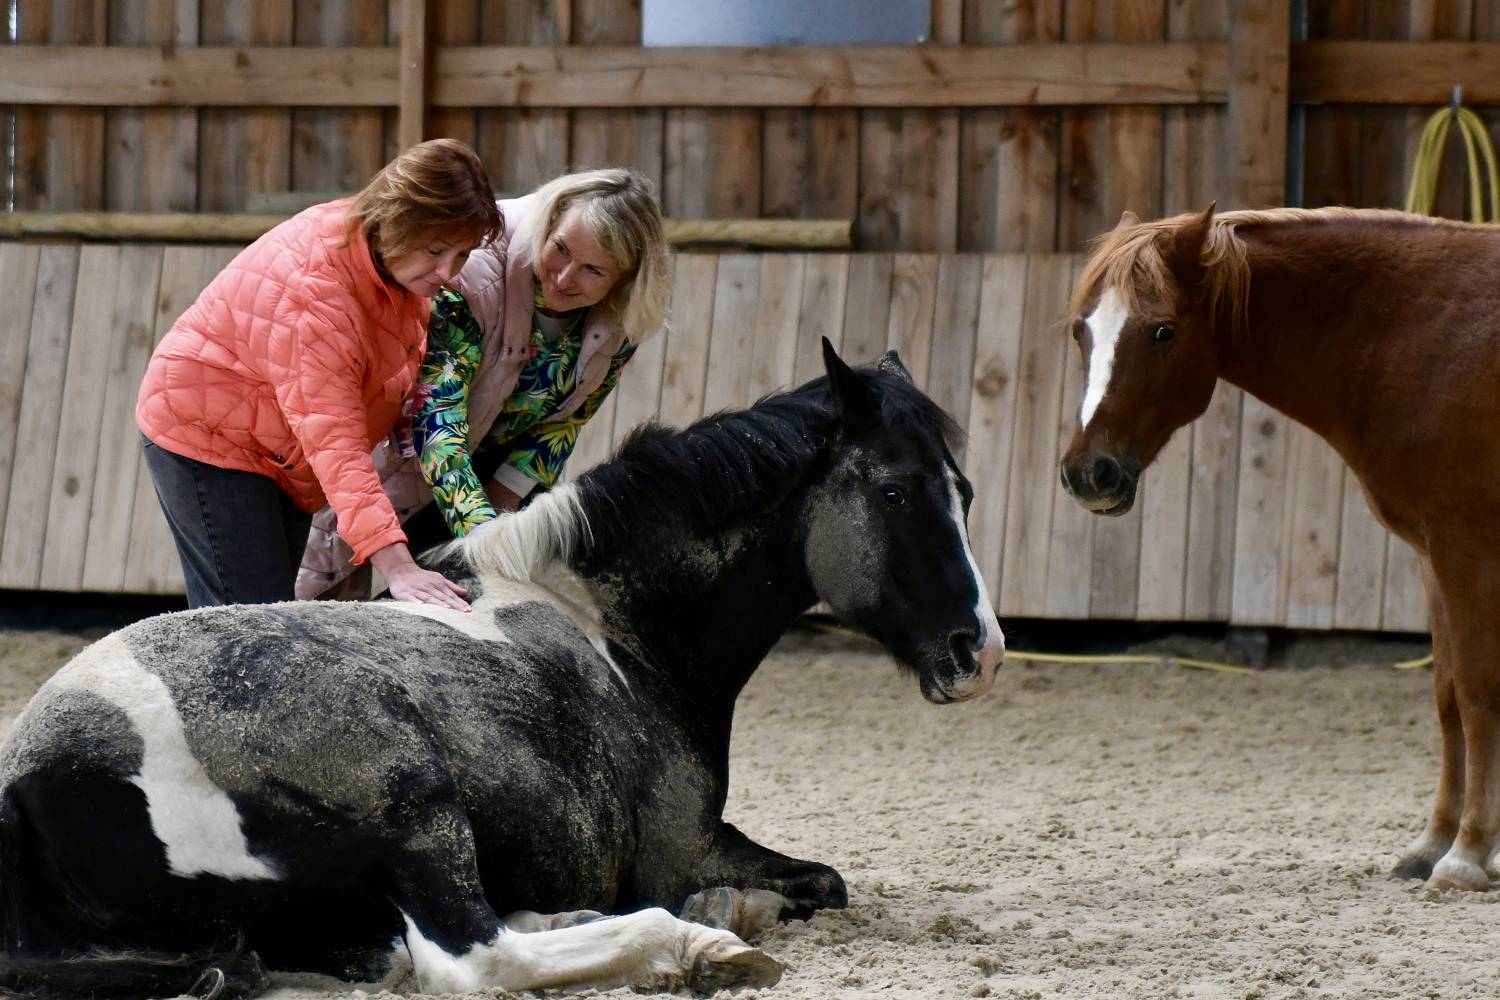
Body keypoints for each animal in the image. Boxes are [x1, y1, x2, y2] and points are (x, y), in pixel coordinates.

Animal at [2, 340, 1008, 995]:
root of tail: (31, 777)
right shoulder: (684, 848)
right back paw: (693, 949)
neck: (610, 626)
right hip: (411, 798)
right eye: (896, 491)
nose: (981, 650)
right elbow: (815, 883)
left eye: (964, 490)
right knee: (468, 957)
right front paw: (726, 915)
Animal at [1056, 205, 1500, 893]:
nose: (1088, 475)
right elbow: (1449, 695)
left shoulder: (1464, 548)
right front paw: (1433, 845)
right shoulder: (1432, 557)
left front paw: (1467, 855)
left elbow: (1479, 694)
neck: (1423, 334)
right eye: (1082, 331)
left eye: (1162, 331)